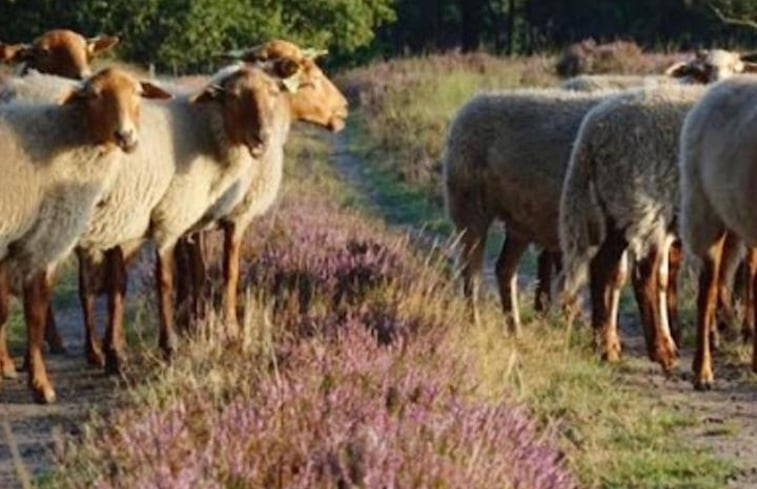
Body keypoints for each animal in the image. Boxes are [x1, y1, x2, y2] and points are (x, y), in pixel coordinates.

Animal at [0, 69, 170, 404]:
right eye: (94, 95)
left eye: (137, 93)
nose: (126, 136)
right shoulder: (45, 236)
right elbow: (35, 310)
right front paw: (41, 385)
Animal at [442, 86, 616, 332]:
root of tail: (471, 102)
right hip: (470, 208)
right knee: (471, 270)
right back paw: (475, 323)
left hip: (521, 223)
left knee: (504, 269)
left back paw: (515, 329)